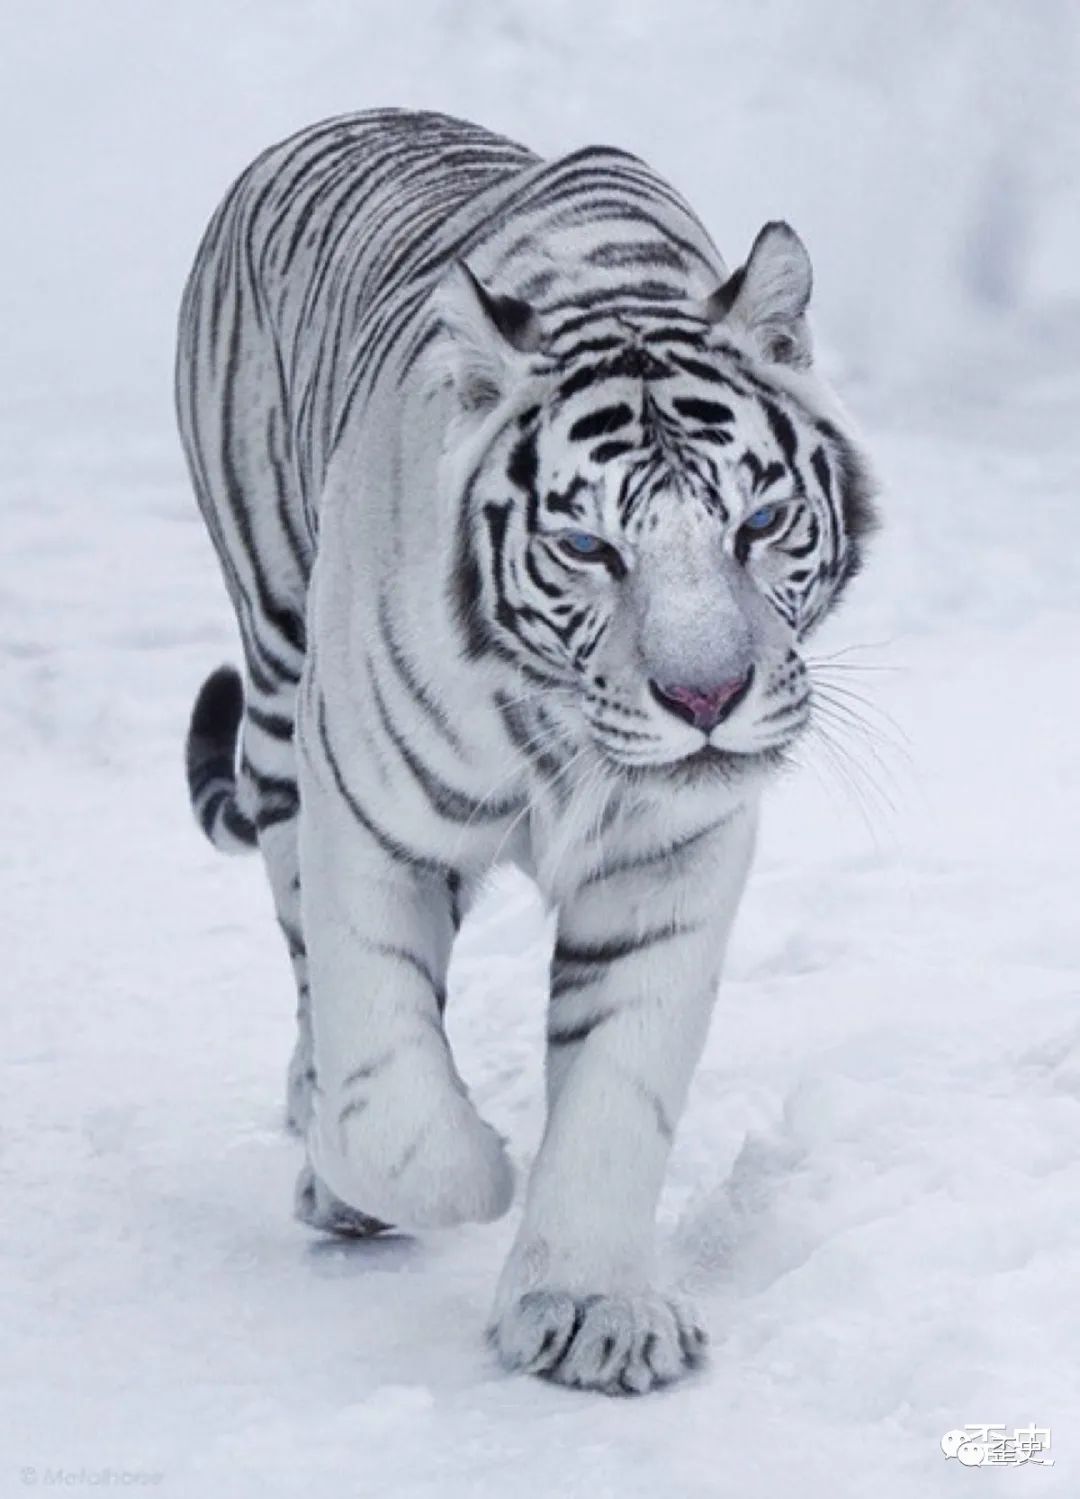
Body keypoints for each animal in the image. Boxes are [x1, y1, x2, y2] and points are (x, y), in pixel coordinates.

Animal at [177, 108, 876, 1395]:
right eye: (588, 546)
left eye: (759, 523)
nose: (707, 695)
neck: (566, 742)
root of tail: (358, 114)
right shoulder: (368, 820)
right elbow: (384, 1082)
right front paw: (453, 1172)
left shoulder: (671, 858)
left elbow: (617, 1087)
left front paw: (592, 1308)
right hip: (279, 682)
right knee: (310, 970)